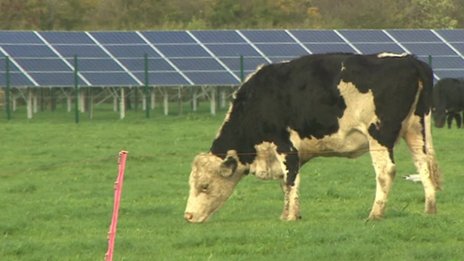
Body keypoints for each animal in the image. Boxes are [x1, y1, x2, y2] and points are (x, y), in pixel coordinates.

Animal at [183, 52, 440, 221]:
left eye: (205, 186)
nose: (188, 216)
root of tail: (409, 59)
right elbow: (285, 184)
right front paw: (286, 213)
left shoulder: (286, 147)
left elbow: (290, 181)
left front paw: (290, 217)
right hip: (416, 130)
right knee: (423, 164)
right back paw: (429, 209)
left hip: (379, 134)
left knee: (386, 171)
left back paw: (375, 214)